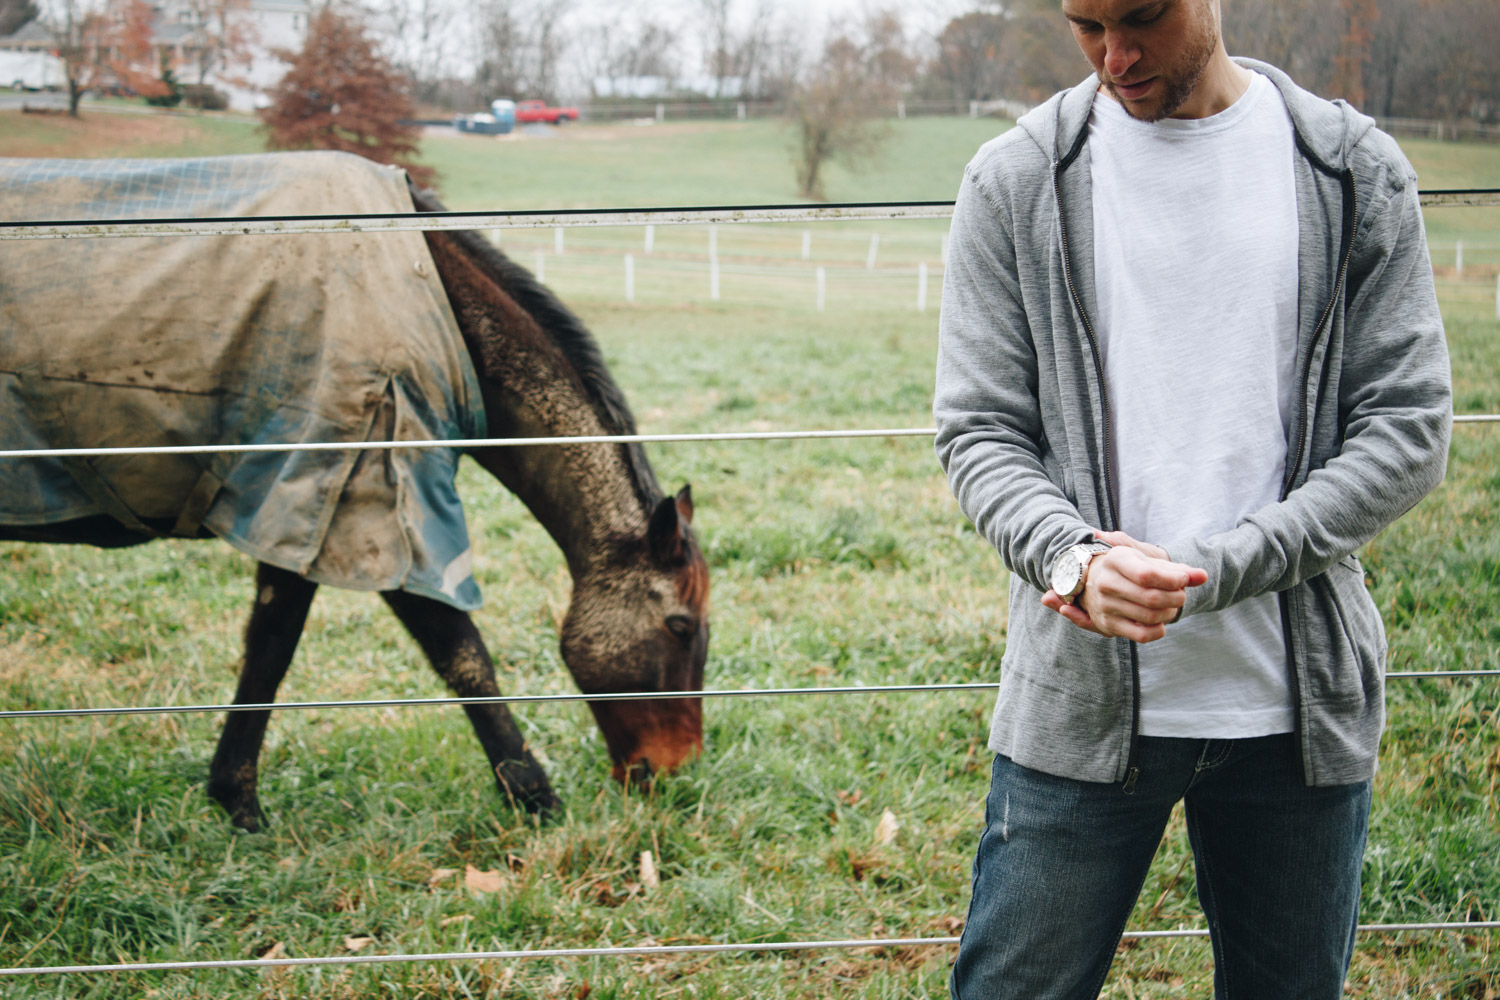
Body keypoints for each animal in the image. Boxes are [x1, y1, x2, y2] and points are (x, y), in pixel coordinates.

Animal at [0, 154, 708, 827]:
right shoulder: (379, 516)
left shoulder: (298, 515)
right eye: (679, 626)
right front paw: (538, 803)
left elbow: (268, 652)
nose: (672, 770)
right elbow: (463, 657)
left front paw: (237, 802)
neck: (425, 294)